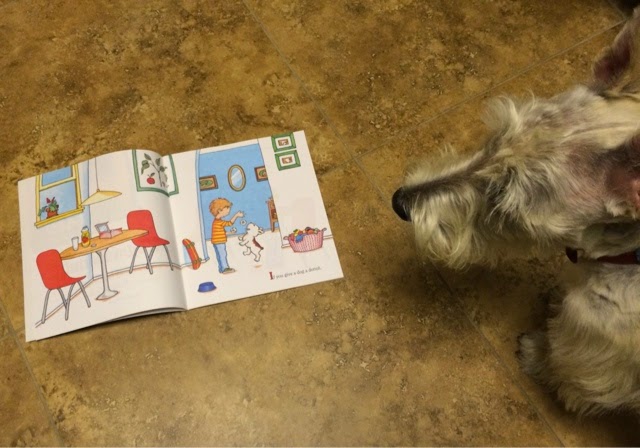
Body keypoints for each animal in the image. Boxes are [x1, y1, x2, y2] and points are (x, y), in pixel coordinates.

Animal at [392, 10, 640, 416]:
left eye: (504, 200)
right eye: (495, 139)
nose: (399, 202)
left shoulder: (595, 351)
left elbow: (565, 366)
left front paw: (535, 353)